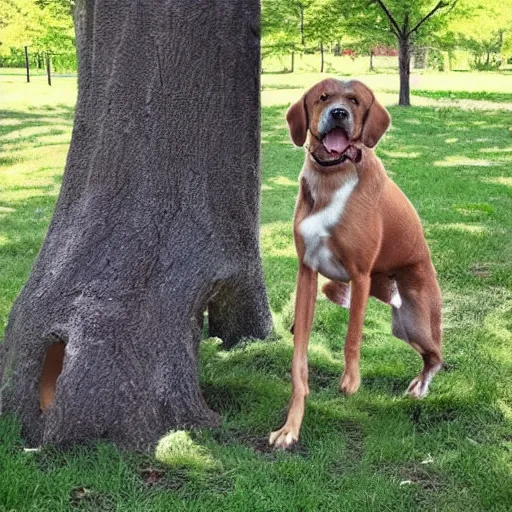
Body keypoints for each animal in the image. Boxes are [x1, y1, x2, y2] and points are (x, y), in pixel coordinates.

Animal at [270, 79, 442, 448]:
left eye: (354, 100)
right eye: (322, 97)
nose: (338, 113)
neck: (331, 176)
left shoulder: (360, 274)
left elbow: (352, 334)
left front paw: (350, 381)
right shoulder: (308, 272)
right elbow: (299, 361)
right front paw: (290, 428)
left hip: (416, 321)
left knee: (436, 356)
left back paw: (420, 387)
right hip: (398, 321)